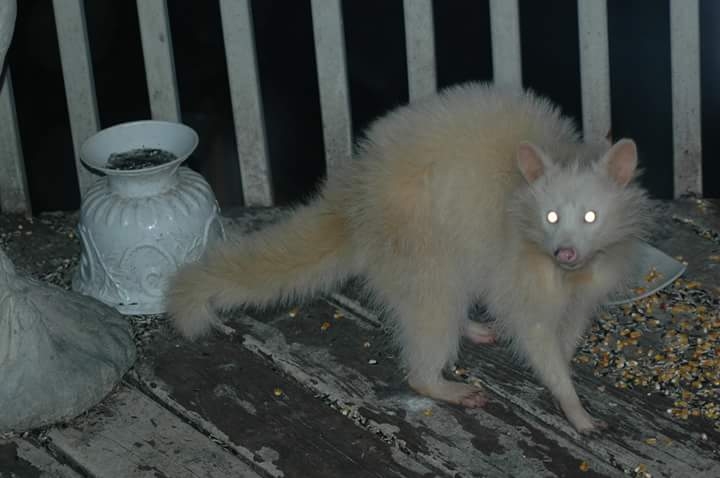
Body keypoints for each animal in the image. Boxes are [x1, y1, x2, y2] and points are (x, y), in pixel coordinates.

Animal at [166, 81, 656, 434]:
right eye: (551, 215)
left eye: (591, 216)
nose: (565, 251)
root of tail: (355, 194)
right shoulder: (520, 259)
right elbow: (532, 328)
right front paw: (570, 399)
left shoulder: (594, 267)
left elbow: (570, 321)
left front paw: (565, 359)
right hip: (416, 236)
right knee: (431, 308)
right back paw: (432, 378)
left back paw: (467, 324)